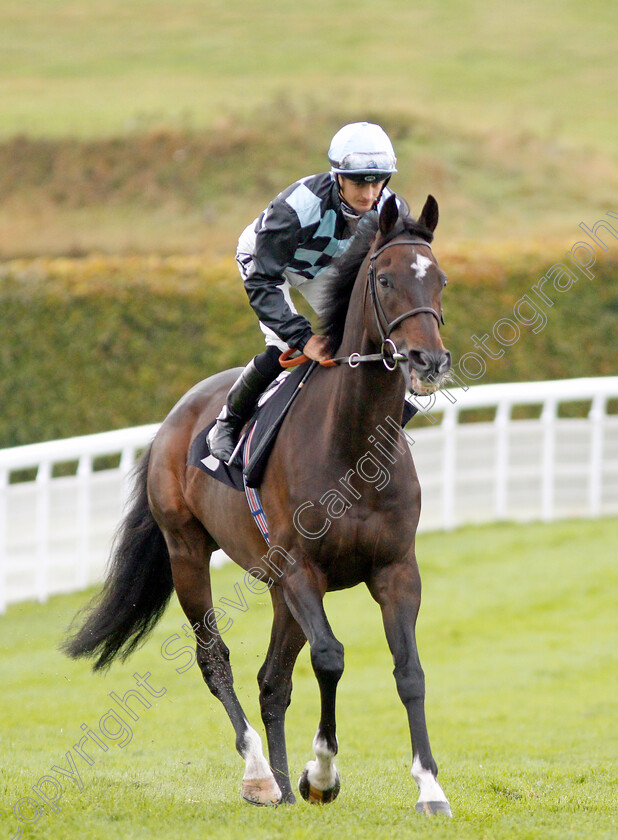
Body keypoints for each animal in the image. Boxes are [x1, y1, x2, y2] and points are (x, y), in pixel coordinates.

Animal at [63, 195, 452, 812]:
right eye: (385, 279)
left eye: (439, 279)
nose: (428, 359)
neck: (354, 446)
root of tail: (174, 419)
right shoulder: (301, 569)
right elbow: (330, 657)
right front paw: (322, 775)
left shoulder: (395, 568)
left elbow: (408, 669)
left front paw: (429, 786)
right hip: (188, 553)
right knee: (214, 658)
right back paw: (261, 775)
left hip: (275, 588)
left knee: (273, 680)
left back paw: (283, 785)